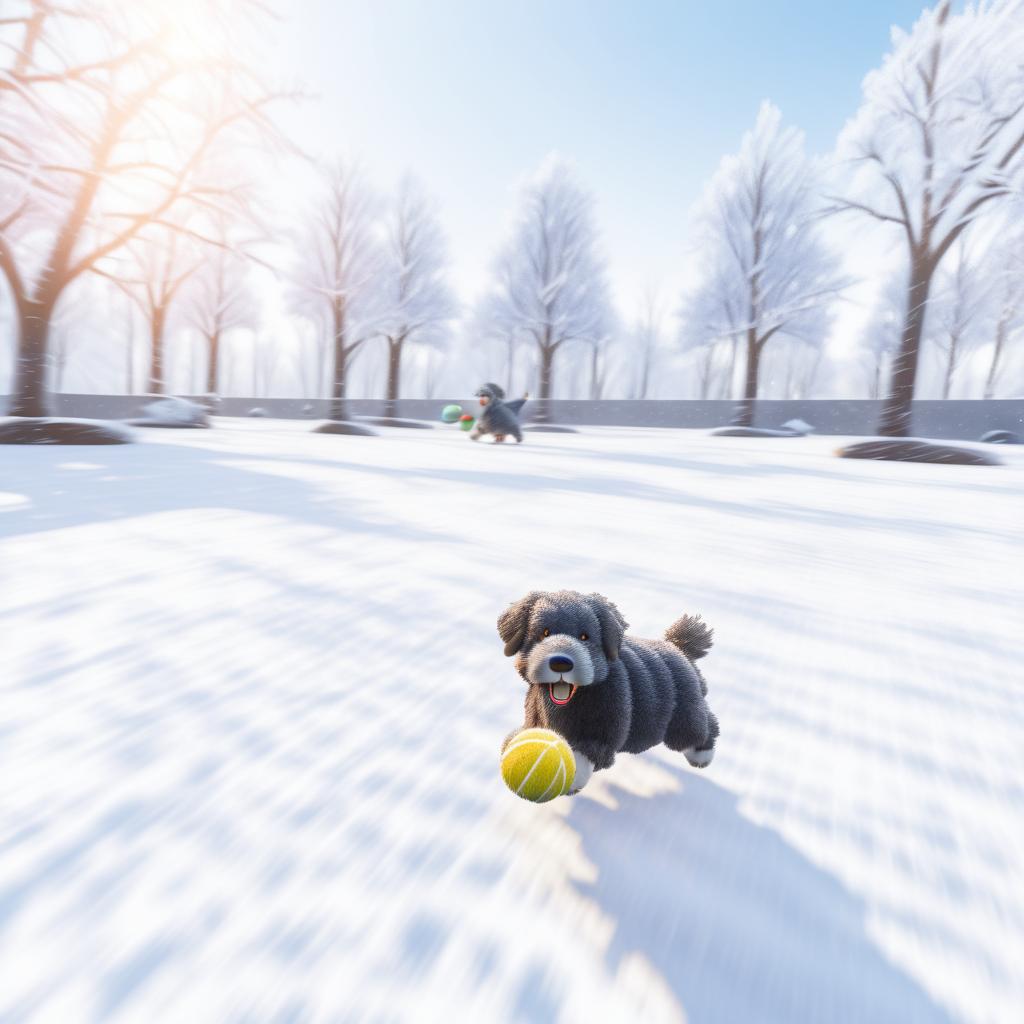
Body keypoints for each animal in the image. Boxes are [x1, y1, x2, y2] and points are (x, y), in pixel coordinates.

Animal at [497, 589, 720, 794]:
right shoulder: (536, 715)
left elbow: (586, 752)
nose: (561, 663)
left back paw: (702, 755)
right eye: (544, 633)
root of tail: (680, 649)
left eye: (585, 636)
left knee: (701, 728)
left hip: (684, 714)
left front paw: (573, 776)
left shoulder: (606, 722)